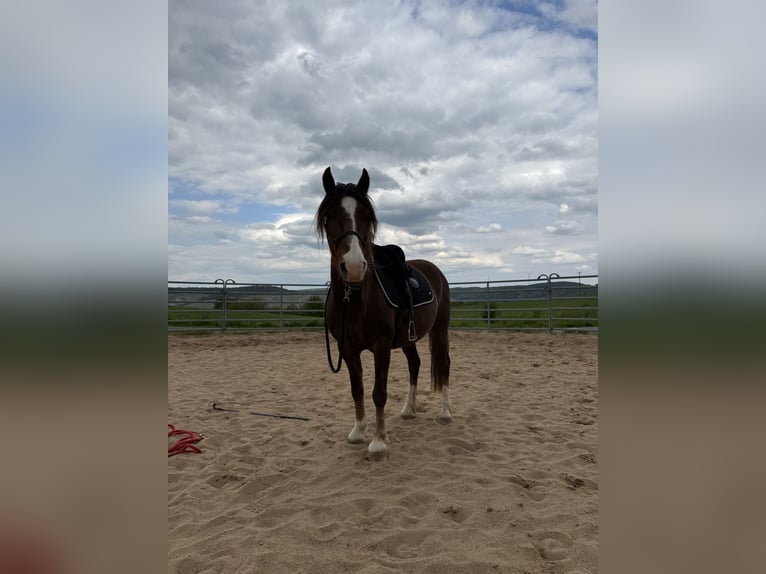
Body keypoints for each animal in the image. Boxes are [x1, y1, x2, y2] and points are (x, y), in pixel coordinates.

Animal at [315, 167, 453, 461]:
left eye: (367, 216)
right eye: (329, 216)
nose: (354, 267)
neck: (356, 300)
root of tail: (434, 269)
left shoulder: (381, 346)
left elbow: (379, 392)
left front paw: (379, 442)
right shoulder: (347, 349)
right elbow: (357, 388)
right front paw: (358, 431)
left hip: (441, 328)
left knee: (444, 364)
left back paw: (445, 413)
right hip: (408, 339)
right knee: (415, 364)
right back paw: (408, 410)